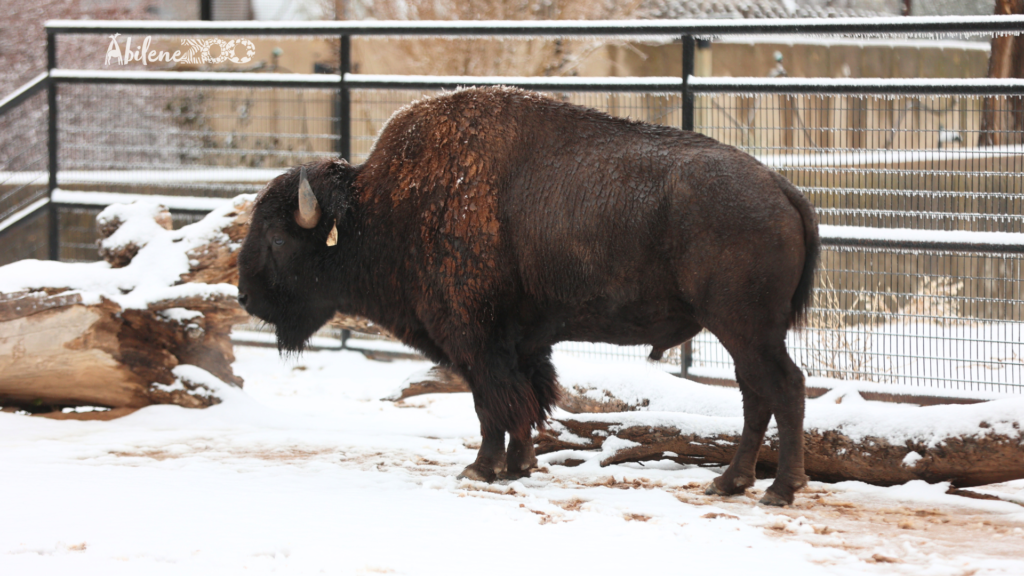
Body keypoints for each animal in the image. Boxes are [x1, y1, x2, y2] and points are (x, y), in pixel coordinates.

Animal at [235, 84, 819, 502]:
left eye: (278, 238)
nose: (244, 298)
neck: (381, 208)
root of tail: (781, 188)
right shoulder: (523, 343)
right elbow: (526, 400)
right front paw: (518, 467)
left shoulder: (475, 340)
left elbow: (491, 405)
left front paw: (479, 469)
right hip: (743, 332)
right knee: (756, 394)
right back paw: (730, 482)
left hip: (743, 327)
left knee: (782, 388)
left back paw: (778, 490)